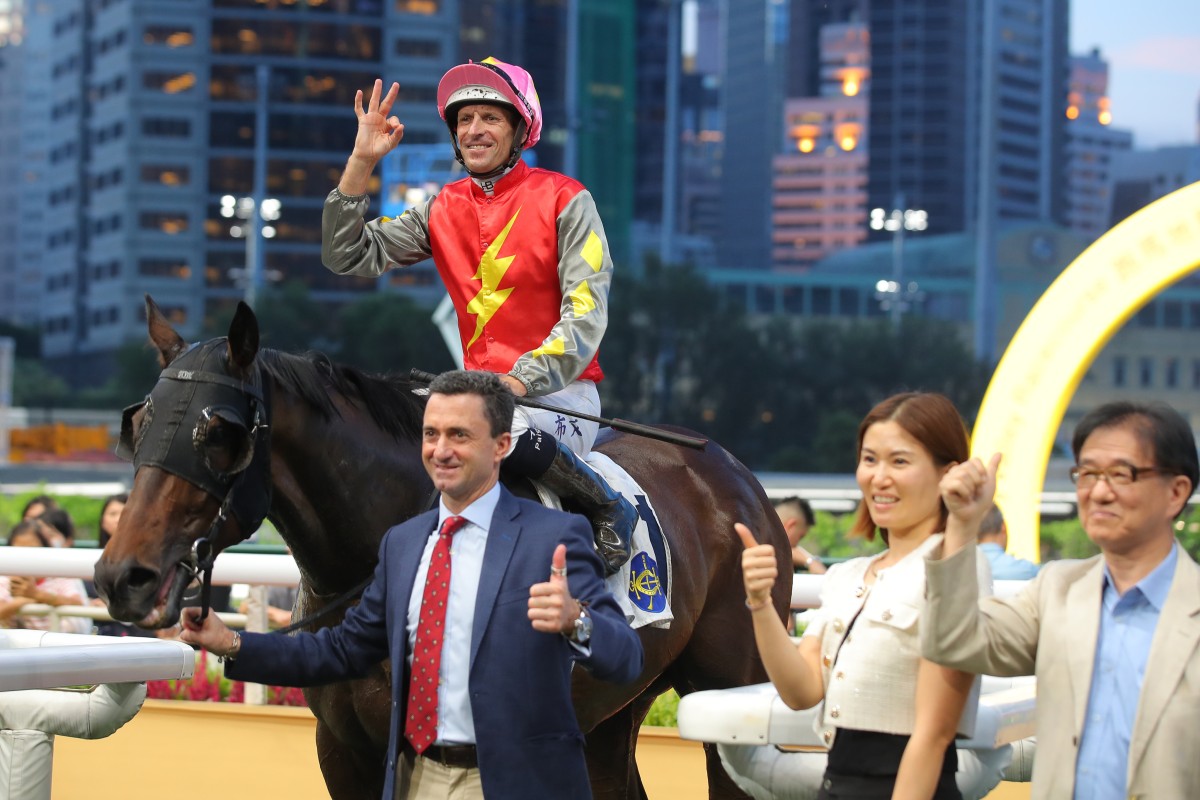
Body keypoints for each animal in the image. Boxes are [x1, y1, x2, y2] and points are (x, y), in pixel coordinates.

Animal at [91, 299, 787, 800]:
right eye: (139, 422)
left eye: (220, 434)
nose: (123, 575)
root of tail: (736, 477)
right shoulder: (343, 749)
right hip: (613, 711)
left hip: (729, 689)